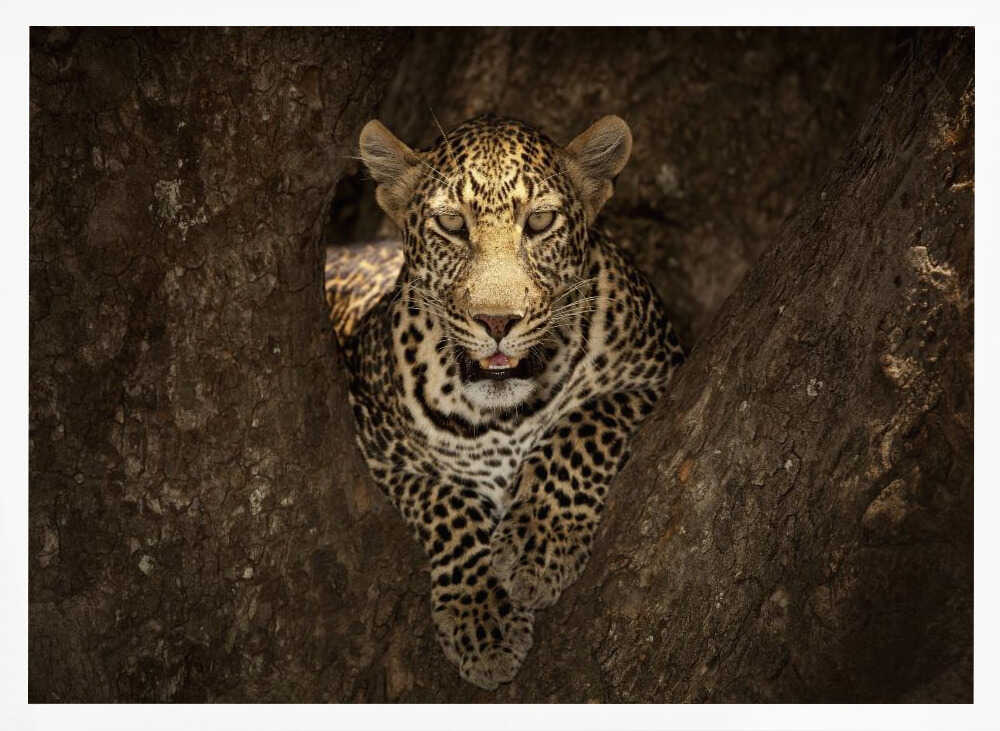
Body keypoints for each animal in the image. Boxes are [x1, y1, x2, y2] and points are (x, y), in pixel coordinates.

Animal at [324, 113, 684, 690]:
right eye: (452, 224)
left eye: (539, 221)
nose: (496, 322)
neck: (502, 417)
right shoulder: (375, 441)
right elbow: (445, 501)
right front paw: (483, 617)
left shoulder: (659, 372)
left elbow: (582, 425)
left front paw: (538, 543)